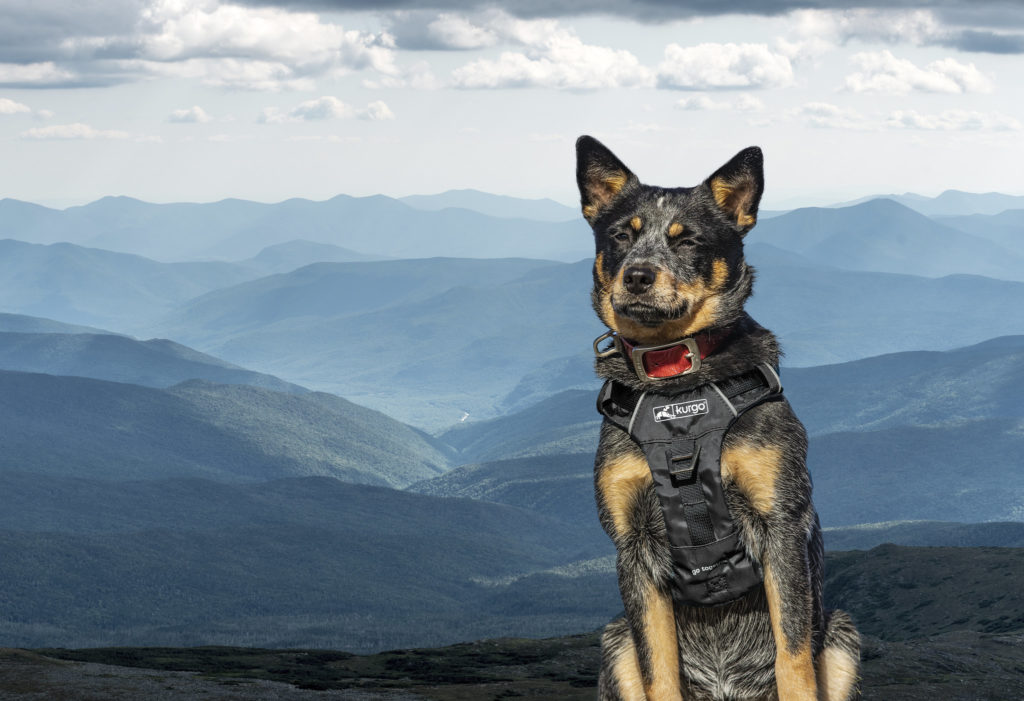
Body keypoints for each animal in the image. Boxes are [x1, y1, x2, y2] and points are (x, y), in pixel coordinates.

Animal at [577, 137, 864, 699]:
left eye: (688, 241)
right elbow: (658, 668)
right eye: (621, 235)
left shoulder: (780, 525)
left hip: (842, 637)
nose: (637, 275)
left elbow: (793, 655)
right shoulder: (632, 550)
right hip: (615, 643)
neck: (675, 387)